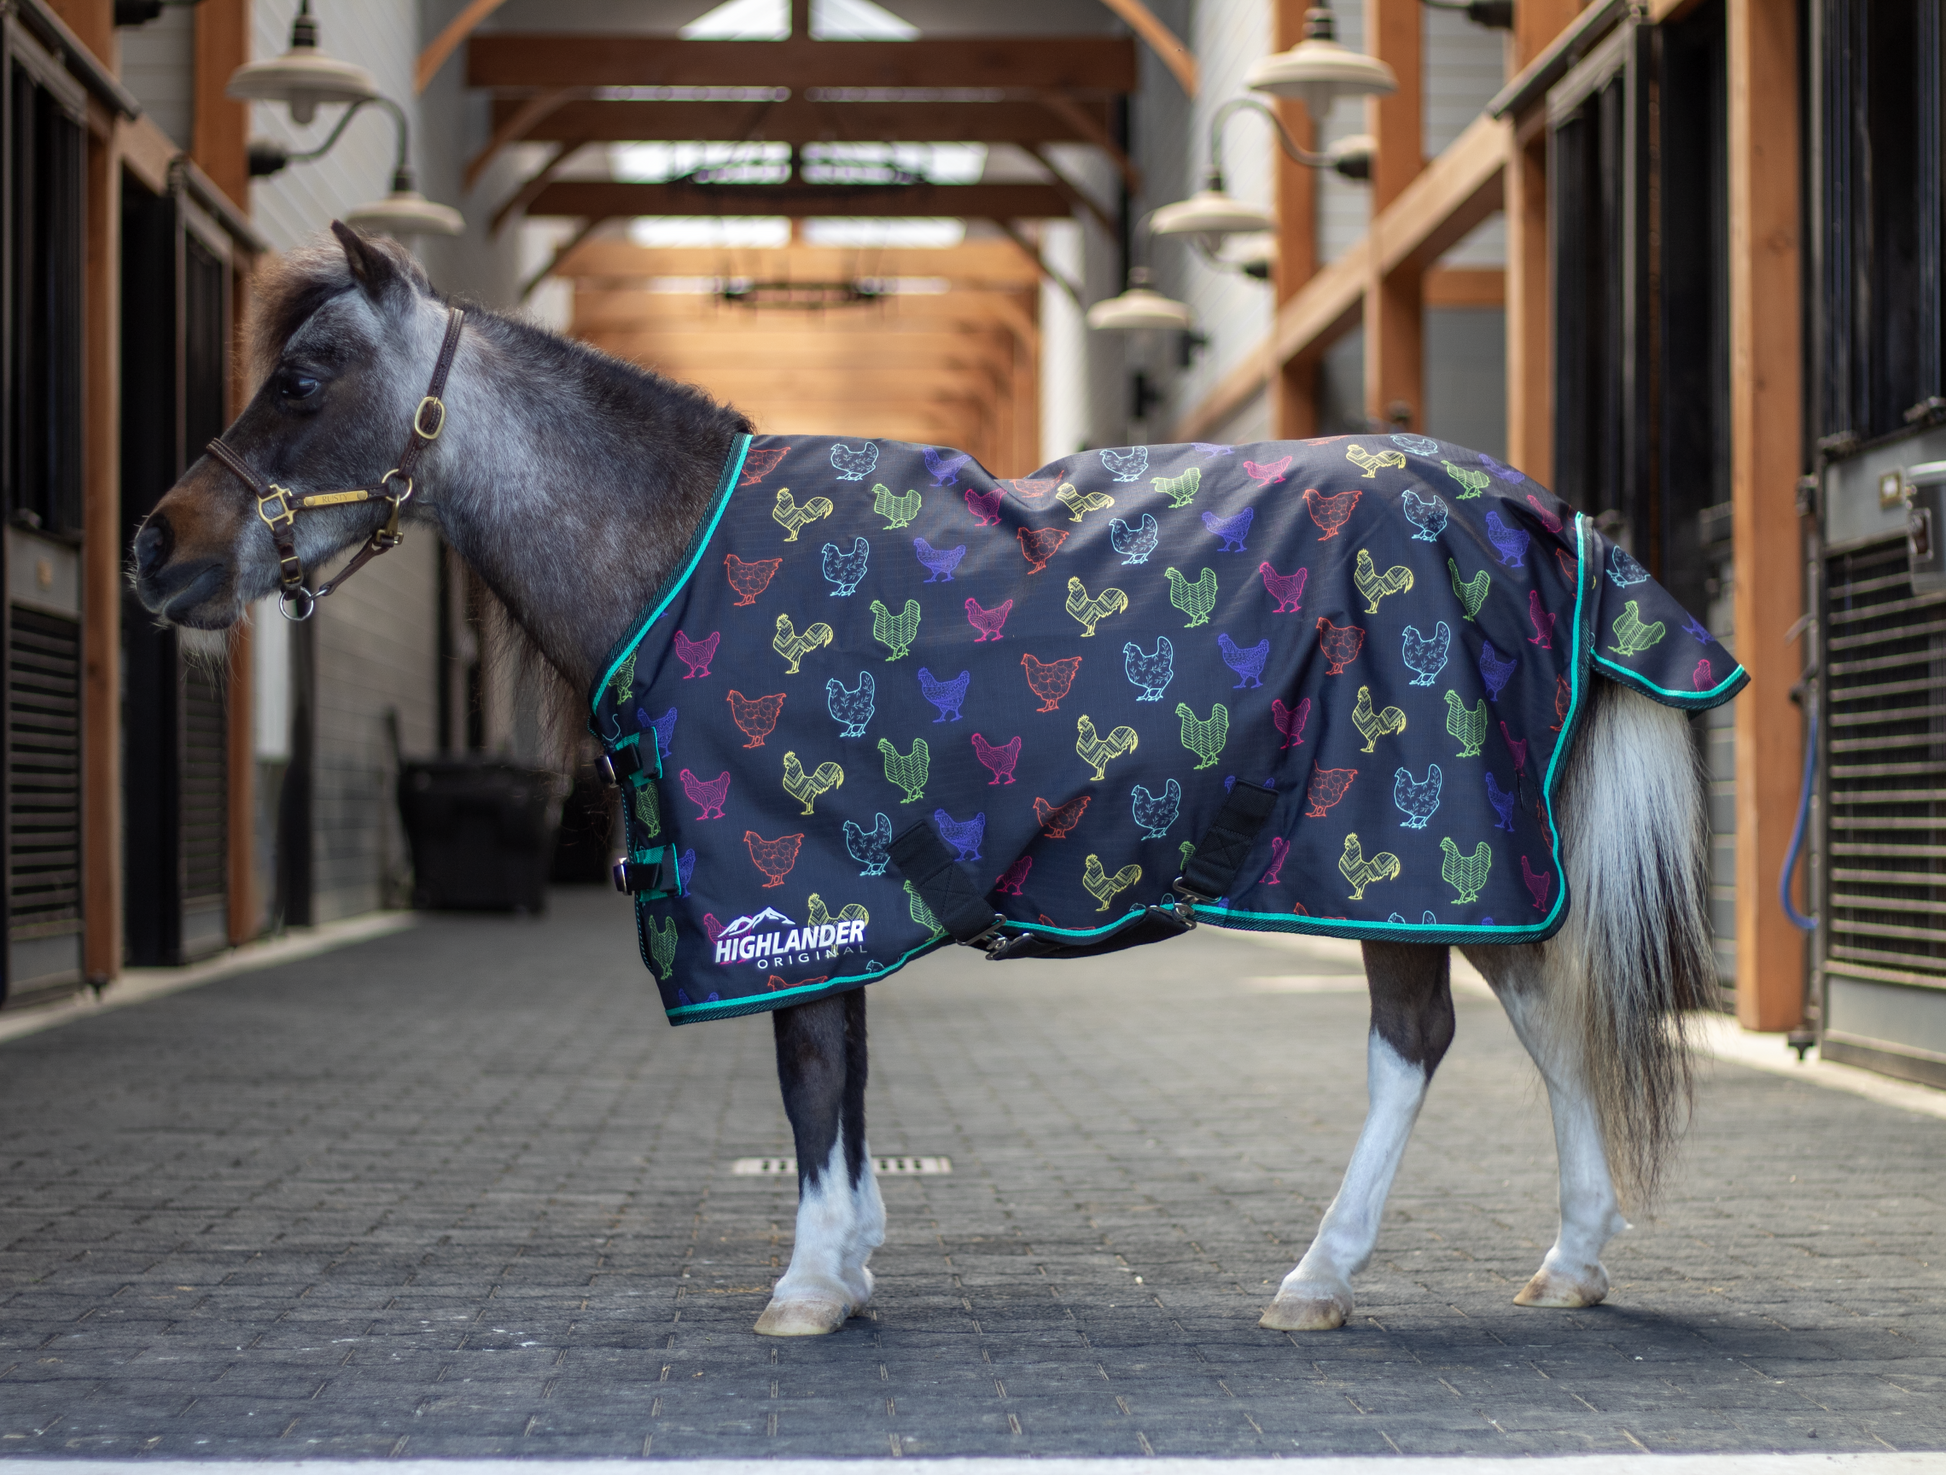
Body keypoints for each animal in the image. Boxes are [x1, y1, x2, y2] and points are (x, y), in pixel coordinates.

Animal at [131, 224, 1715, 1339]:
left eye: (302, 380)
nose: (158, 549)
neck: (681, 550)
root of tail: (1540, 516)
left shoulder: (785, 881)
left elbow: (808, 1072)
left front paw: (809, 1283)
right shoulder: (839, 885)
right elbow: (842, 1079)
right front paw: (852, 1260)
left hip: (1393, 843)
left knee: (1414, 1039)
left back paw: (1318, 1276)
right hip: (1475, 856)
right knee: (1552, 1015)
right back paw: (1569, 1261)